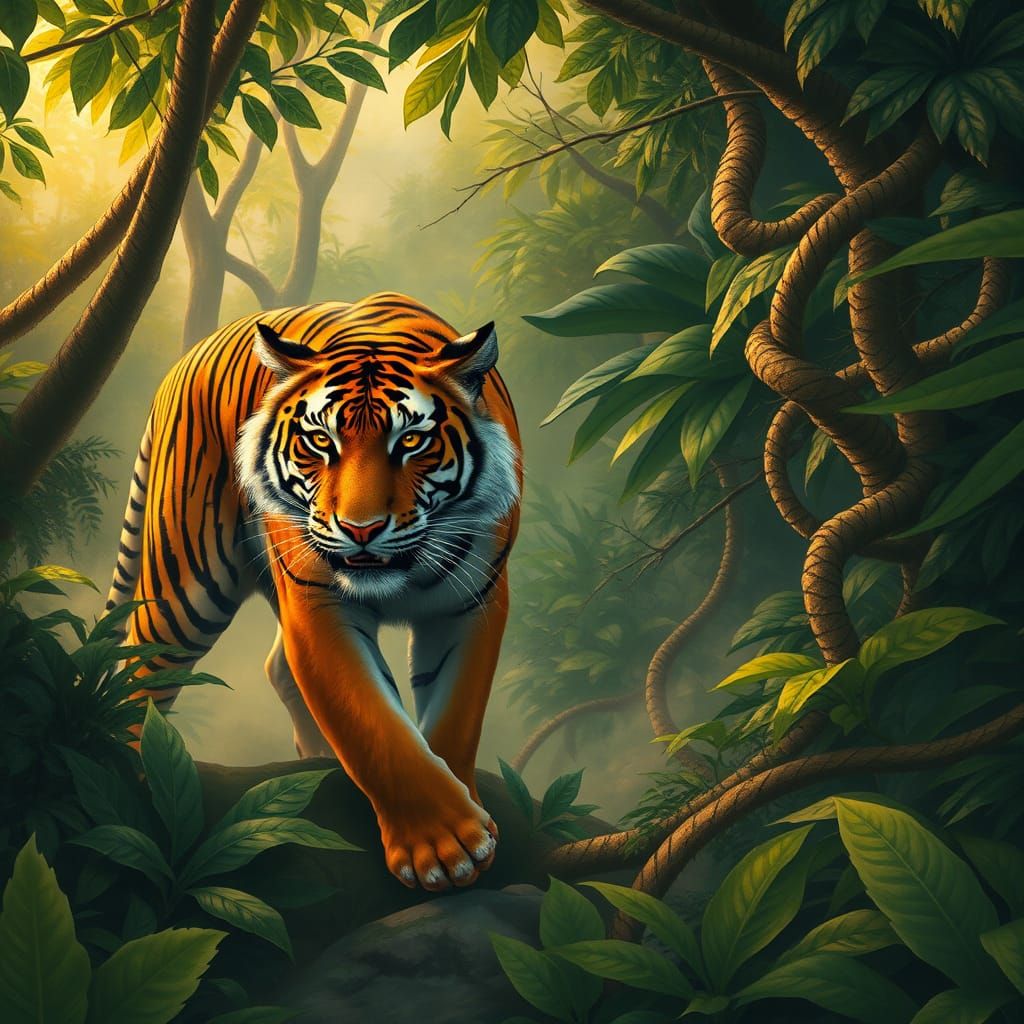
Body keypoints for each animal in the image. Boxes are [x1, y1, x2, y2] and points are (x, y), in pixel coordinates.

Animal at [106, 293, 522, 892]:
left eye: (411, 441)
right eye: (321, 441)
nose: (360, 529)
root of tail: (184, 363)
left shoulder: (474, 601)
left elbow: (454, 717)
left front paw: (469, 832)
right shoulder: (317, 604)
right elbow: (373, 725)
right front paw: (444, 846)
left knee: (275, 668)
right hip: (185, 583)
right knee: (143, 667)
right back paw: (140, 770)